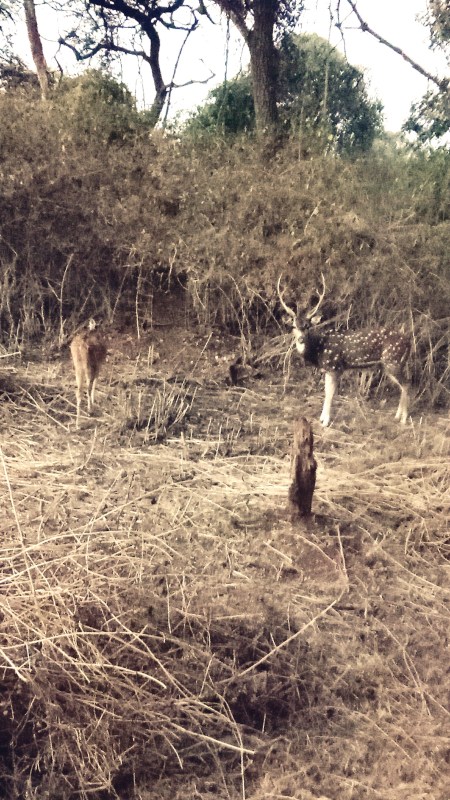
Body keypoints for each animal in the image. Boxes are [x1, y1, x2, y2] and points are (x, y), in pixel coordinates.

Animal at [277, 275, 410, 427]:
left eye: (307, 326)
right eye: (293, 326)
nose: (300, 339)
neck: (318, 350)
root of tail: (409, 342)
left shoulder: (335, 367)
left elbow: (330, 394)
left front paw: (326, 422)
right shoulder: (328, 369)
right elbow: (327, 392)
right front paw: (322, 418)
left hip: (394, 361)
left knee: (407, 384)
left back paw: (404, 419)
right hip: (387, 365)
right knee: (402, 386)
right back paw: (397, 416)